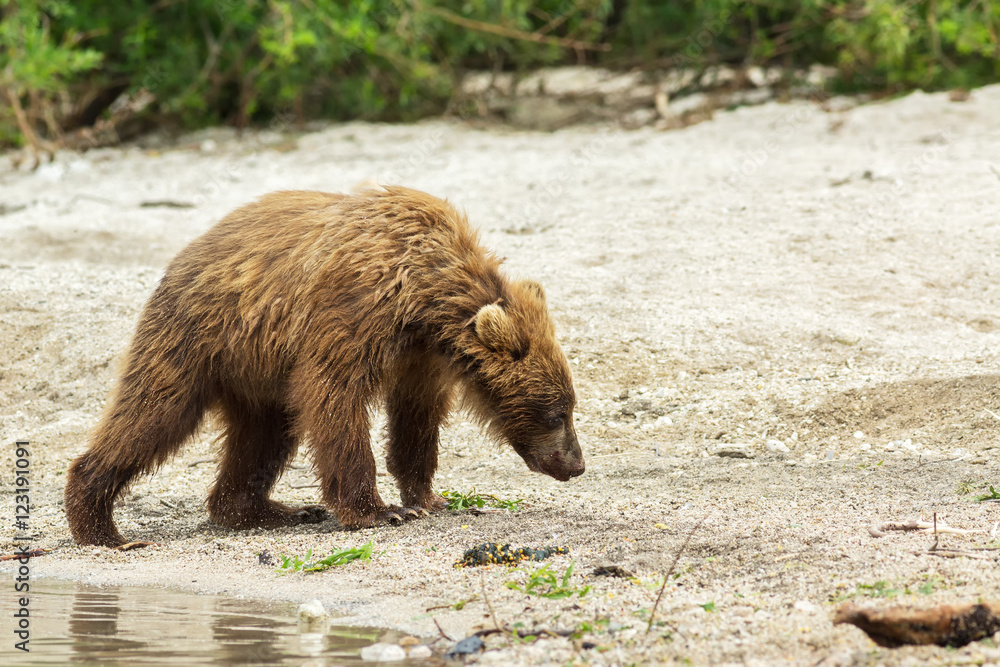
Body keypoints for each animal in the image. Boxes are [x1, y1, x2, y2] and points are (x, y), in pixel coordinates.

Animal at [65, 186, 584, 547]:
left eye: (569, 407)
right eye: (555, 412)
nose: (576, 464)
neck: (424, 296)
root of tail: (185, 254)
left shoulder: (421, 358)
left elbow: (416, 421)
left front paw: (427, 499)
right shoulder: (356, 307)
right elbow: (335, 396)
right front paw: (379, 511)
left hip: (257, 373)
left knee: (265, 435)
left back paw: (273, 510)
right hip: (198, 339)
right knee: (152, 412)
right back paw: (101, 526)